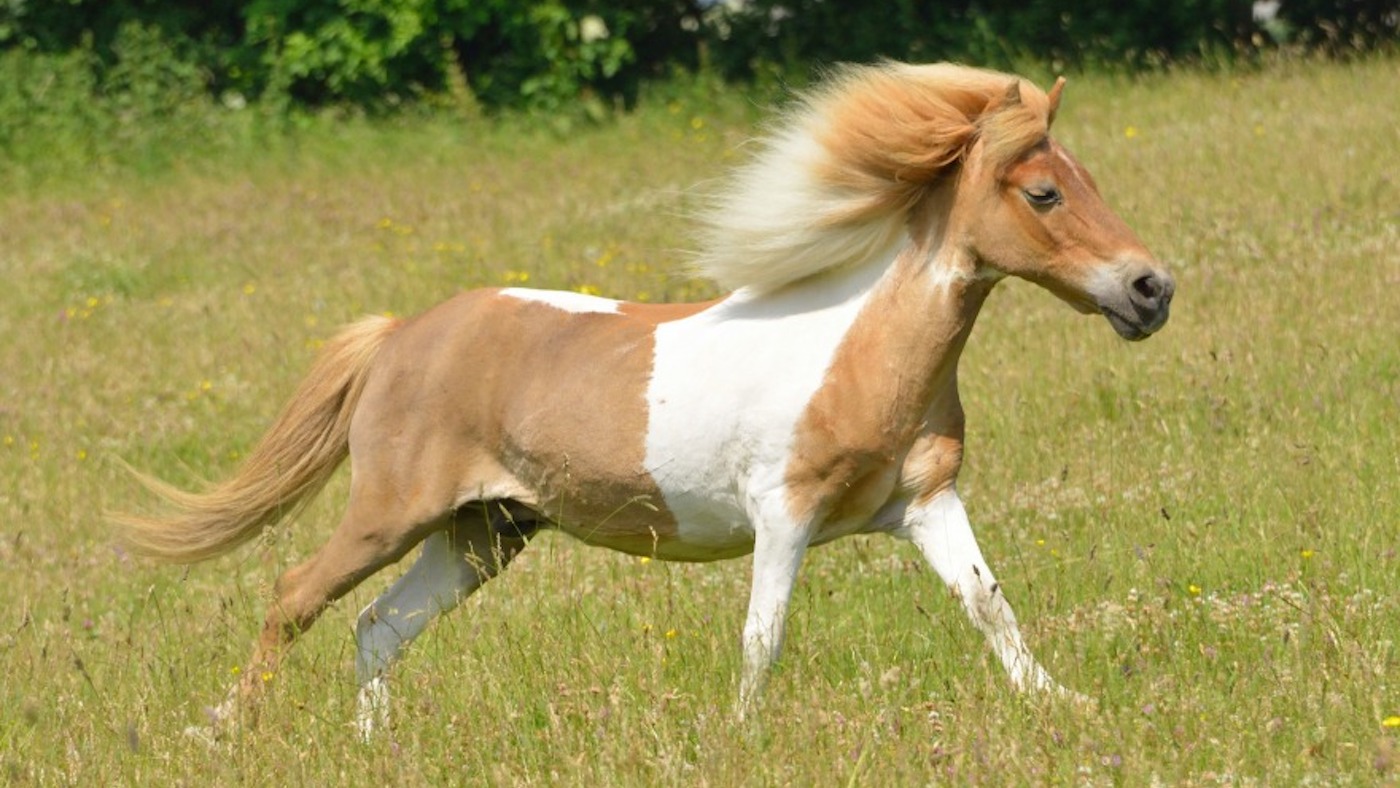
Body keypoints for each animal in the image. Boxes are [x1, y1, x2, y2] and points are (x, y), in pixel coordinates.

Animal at [118, 61, 1175, 738]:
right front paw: (743, 739)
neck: (858, 352)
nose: (1151, 290)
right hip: (392, 512)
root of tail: (399, 336)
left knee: (379, 627)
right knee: (296, 596)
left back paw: (373, 750)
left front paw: (1068, 707)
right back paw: (217, 729)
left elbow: (992, 609)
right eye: (1043, 193)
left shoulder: (926, 504)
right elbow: (763, 636)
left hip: (484, 534)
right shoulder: (784, 512)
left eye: (1086, 178)